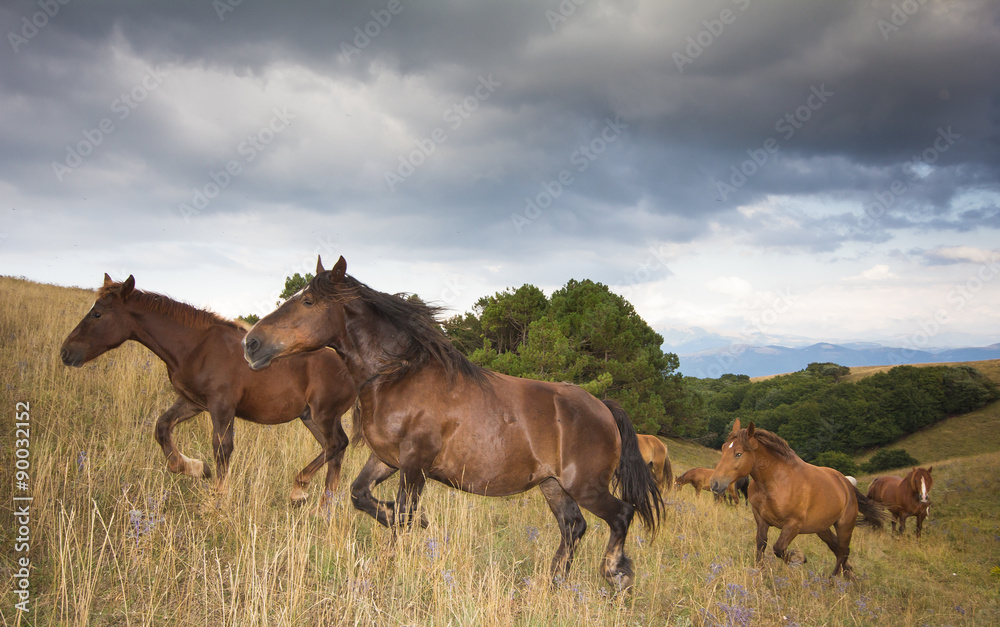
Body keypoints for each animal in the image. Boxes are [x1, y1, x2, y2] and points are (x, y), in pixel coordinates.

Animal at [60, 274, 356, 505]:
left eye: (97, 314)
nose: (66, 352)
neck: (196, 346)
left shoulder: (222, 406)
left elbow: (222, 448)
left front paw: (218, 501)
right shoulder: (193, 402)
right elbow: (162, 427)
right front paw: (195, 468)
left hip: (323, 415)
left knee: (337, 444)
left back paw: (300, 490)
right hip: (310, 417)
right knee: (334, 452)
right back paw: (324, 507)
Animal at [242, 256, 662, 589]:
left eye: (308, 300)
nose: (251, 344)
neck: (397, 374)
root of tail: (604, 407)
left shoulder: (414, 465)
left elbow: (402, 517)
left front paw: (388, 564)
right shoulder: (387, 460)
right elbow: (361, 496)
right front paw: (412, 522)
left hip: (585, 486)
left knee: (621, 515)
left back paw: (615, 574)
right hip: (554, 487)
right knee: (573, 528)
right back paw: (552, 583)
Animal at [710, 420, 889, 576]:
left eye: (738, 454)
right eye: (723, 448)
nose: (715, 483)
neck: (776, 482)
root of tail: (846, 484)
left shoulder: (793, 524)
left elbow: (779, 548)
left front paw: (799, 558)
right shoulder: (761, 519)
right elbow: (761, 545)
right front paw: (760, 573)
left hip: (844, 526)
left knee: (843, 551)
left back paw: (832, 580)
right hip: (822, 528)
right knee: (839, 550)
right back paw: (848, 575)